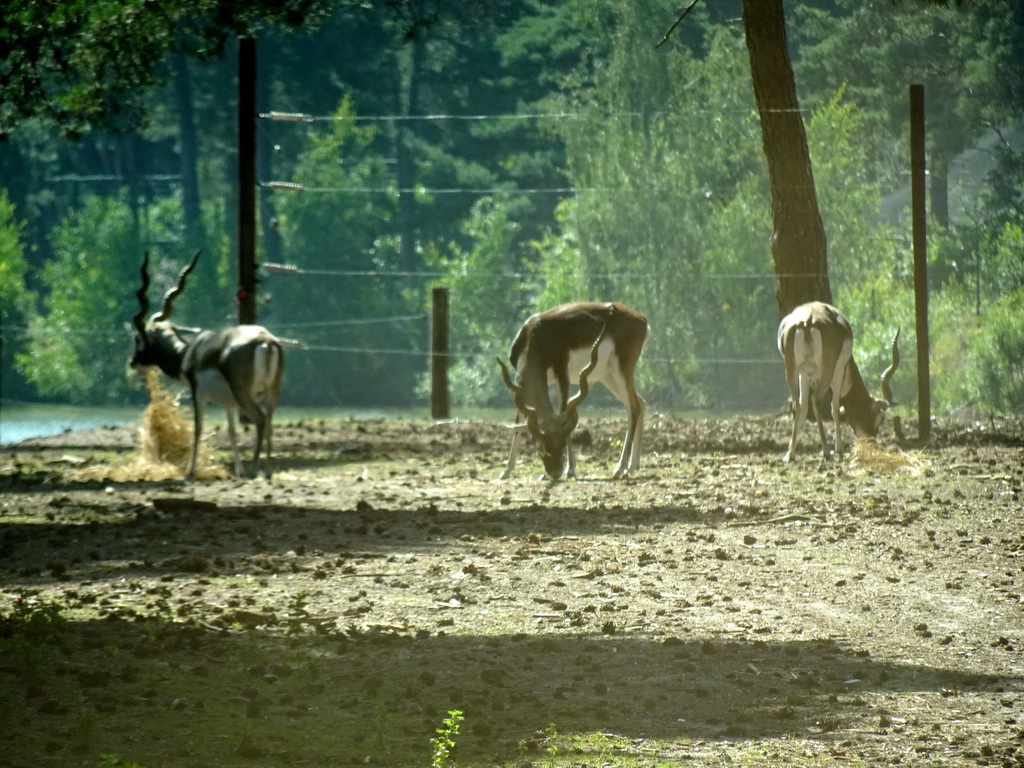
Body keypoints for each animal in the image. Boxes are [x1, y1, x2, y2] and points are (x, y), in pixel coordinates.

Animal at [131, 252, 288, 481]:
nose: (133, 362)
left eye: (137, 338)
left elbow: (198, 428)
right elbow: (232, 431)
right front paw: (238, 471)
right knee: (269, 422)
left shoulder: (198, 393)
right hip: (272, 391)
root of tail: (265, 340)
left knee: (260, 420)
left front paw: (189, 472)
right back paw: (266, 471)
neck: (188, 353)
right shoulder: (229, 404)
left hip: (243, 393)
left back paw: (254, 470)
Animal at [495, 303, 647, 479]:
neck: (535, 335)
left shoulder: (563, 375)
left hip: (621, 370)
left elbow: (564, 413)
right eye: (540, 446)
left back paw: (621, 468)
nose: (555, 472)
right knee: (640, 403)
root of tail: (641, 318)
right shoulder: (523, 386)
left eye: (560, 444)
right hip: (608, 376)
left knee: (634, 408)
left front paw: (571, 470)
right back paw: (633, 466)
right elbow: (519, 421)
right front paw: (506, 471)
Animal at [778, 303, 901, 462]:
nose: (871, 441)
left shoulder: (804, 374)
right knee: (816, 400)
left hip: (791, 369)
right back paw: (827, 452)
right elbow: (835, 408)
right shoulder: (839, 371)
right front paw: (839, 449)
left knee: (796, 405)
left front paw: (789, 451)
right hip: (827, 370)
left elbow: (804, 407)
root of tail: (807, 322)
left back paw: (792, 455)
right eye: (881, 418)